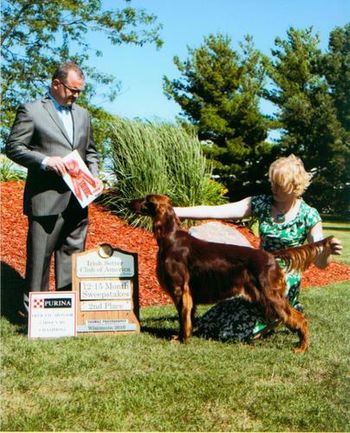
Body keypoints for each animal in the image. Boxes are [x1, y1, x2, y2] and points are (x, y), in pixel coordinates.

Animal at [133, 193, 334, 352]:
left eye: (147, 200)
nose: (130, 202)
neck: (170, 238)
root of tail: (270, 255)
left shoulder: (180, 289)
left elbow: (183, 318)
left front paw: (182, 339)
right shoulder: (188, 293)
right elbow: (188, 318)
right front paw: (182, 336)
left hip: (272, 295)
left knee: (299, 318)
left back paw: (302, 347)